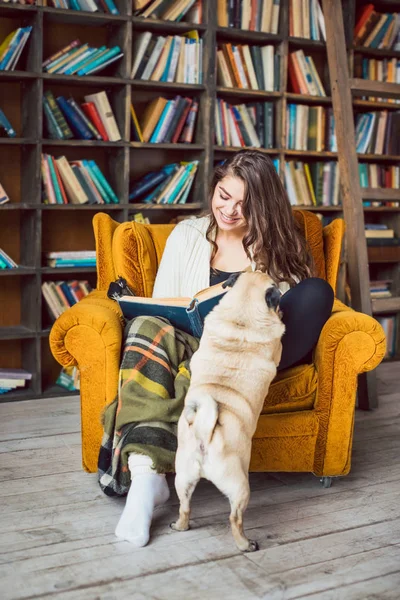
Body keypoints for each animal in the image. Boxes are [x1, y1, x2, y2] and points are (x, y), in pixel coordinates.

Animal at [170, 272, 286, 552]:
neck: (240, 320)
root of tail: (203, 437)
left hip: (183, 478)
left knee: (184, 507)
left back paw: (180, 526)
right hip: (240, 487)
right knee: (235, 518)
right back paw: (245, 544)